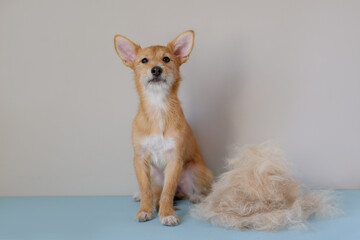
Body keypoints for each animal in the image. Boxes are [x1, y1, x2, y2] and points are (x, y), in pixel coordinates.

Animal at [114, 31, 212, 226]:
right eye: (144, 60)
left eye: (166, 59)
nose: (156, 69)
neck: (158, 106)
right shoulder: (140, 159)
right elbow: (146, 189)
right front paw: (145, 209)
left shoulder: (174, 160)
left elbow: (168, 192)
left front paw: (167, 213)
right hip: (153, 173)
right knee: (154, 191)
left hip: (197, 170)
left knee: (198, 191)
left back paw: (197, 197)